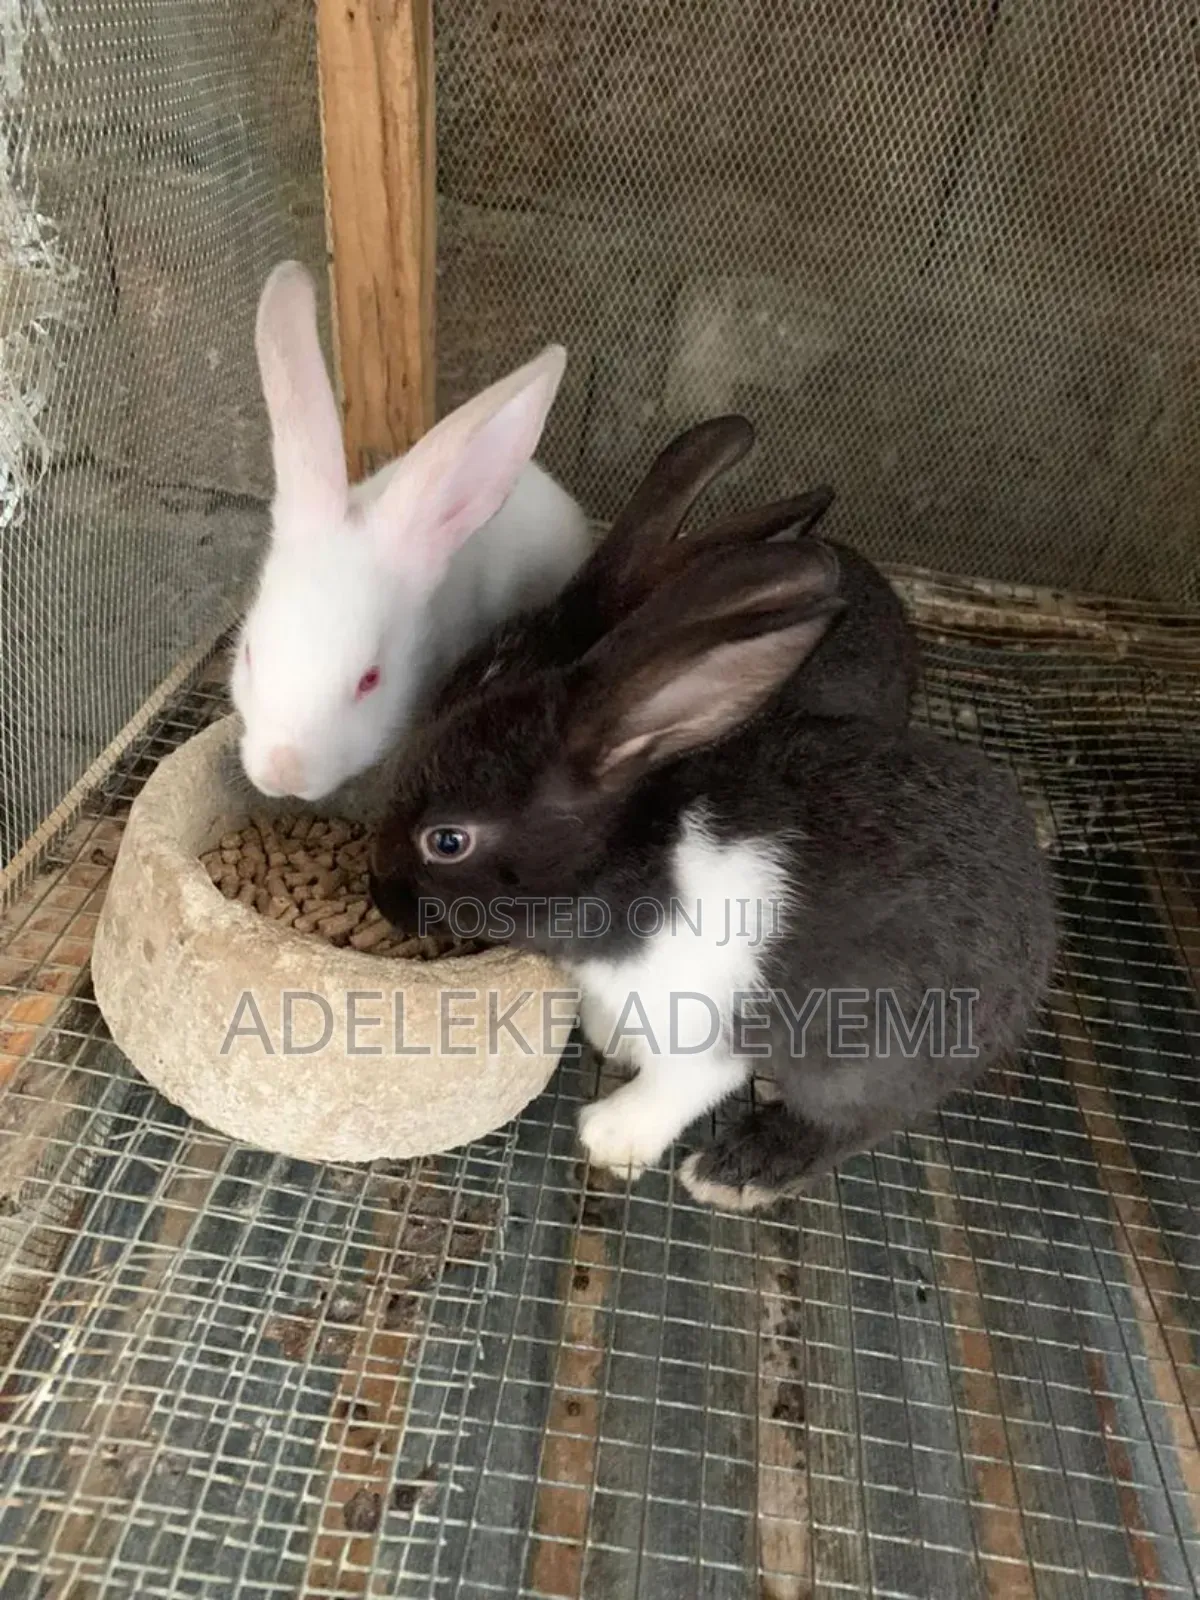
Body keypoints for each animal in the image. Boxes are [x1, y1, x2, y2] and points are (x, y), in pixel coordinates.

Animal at [367, 535, 1056, 1212]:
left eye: (447, 841)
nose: (379, 896)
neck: (633, 865)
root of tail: (1037, 943)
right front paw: (611, 1043)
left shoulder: (705, 1024)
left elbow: (678, 1087)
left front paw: (610, 1136)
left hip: (869, 1057)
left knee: (848, 1122)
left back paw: (734, 1172)